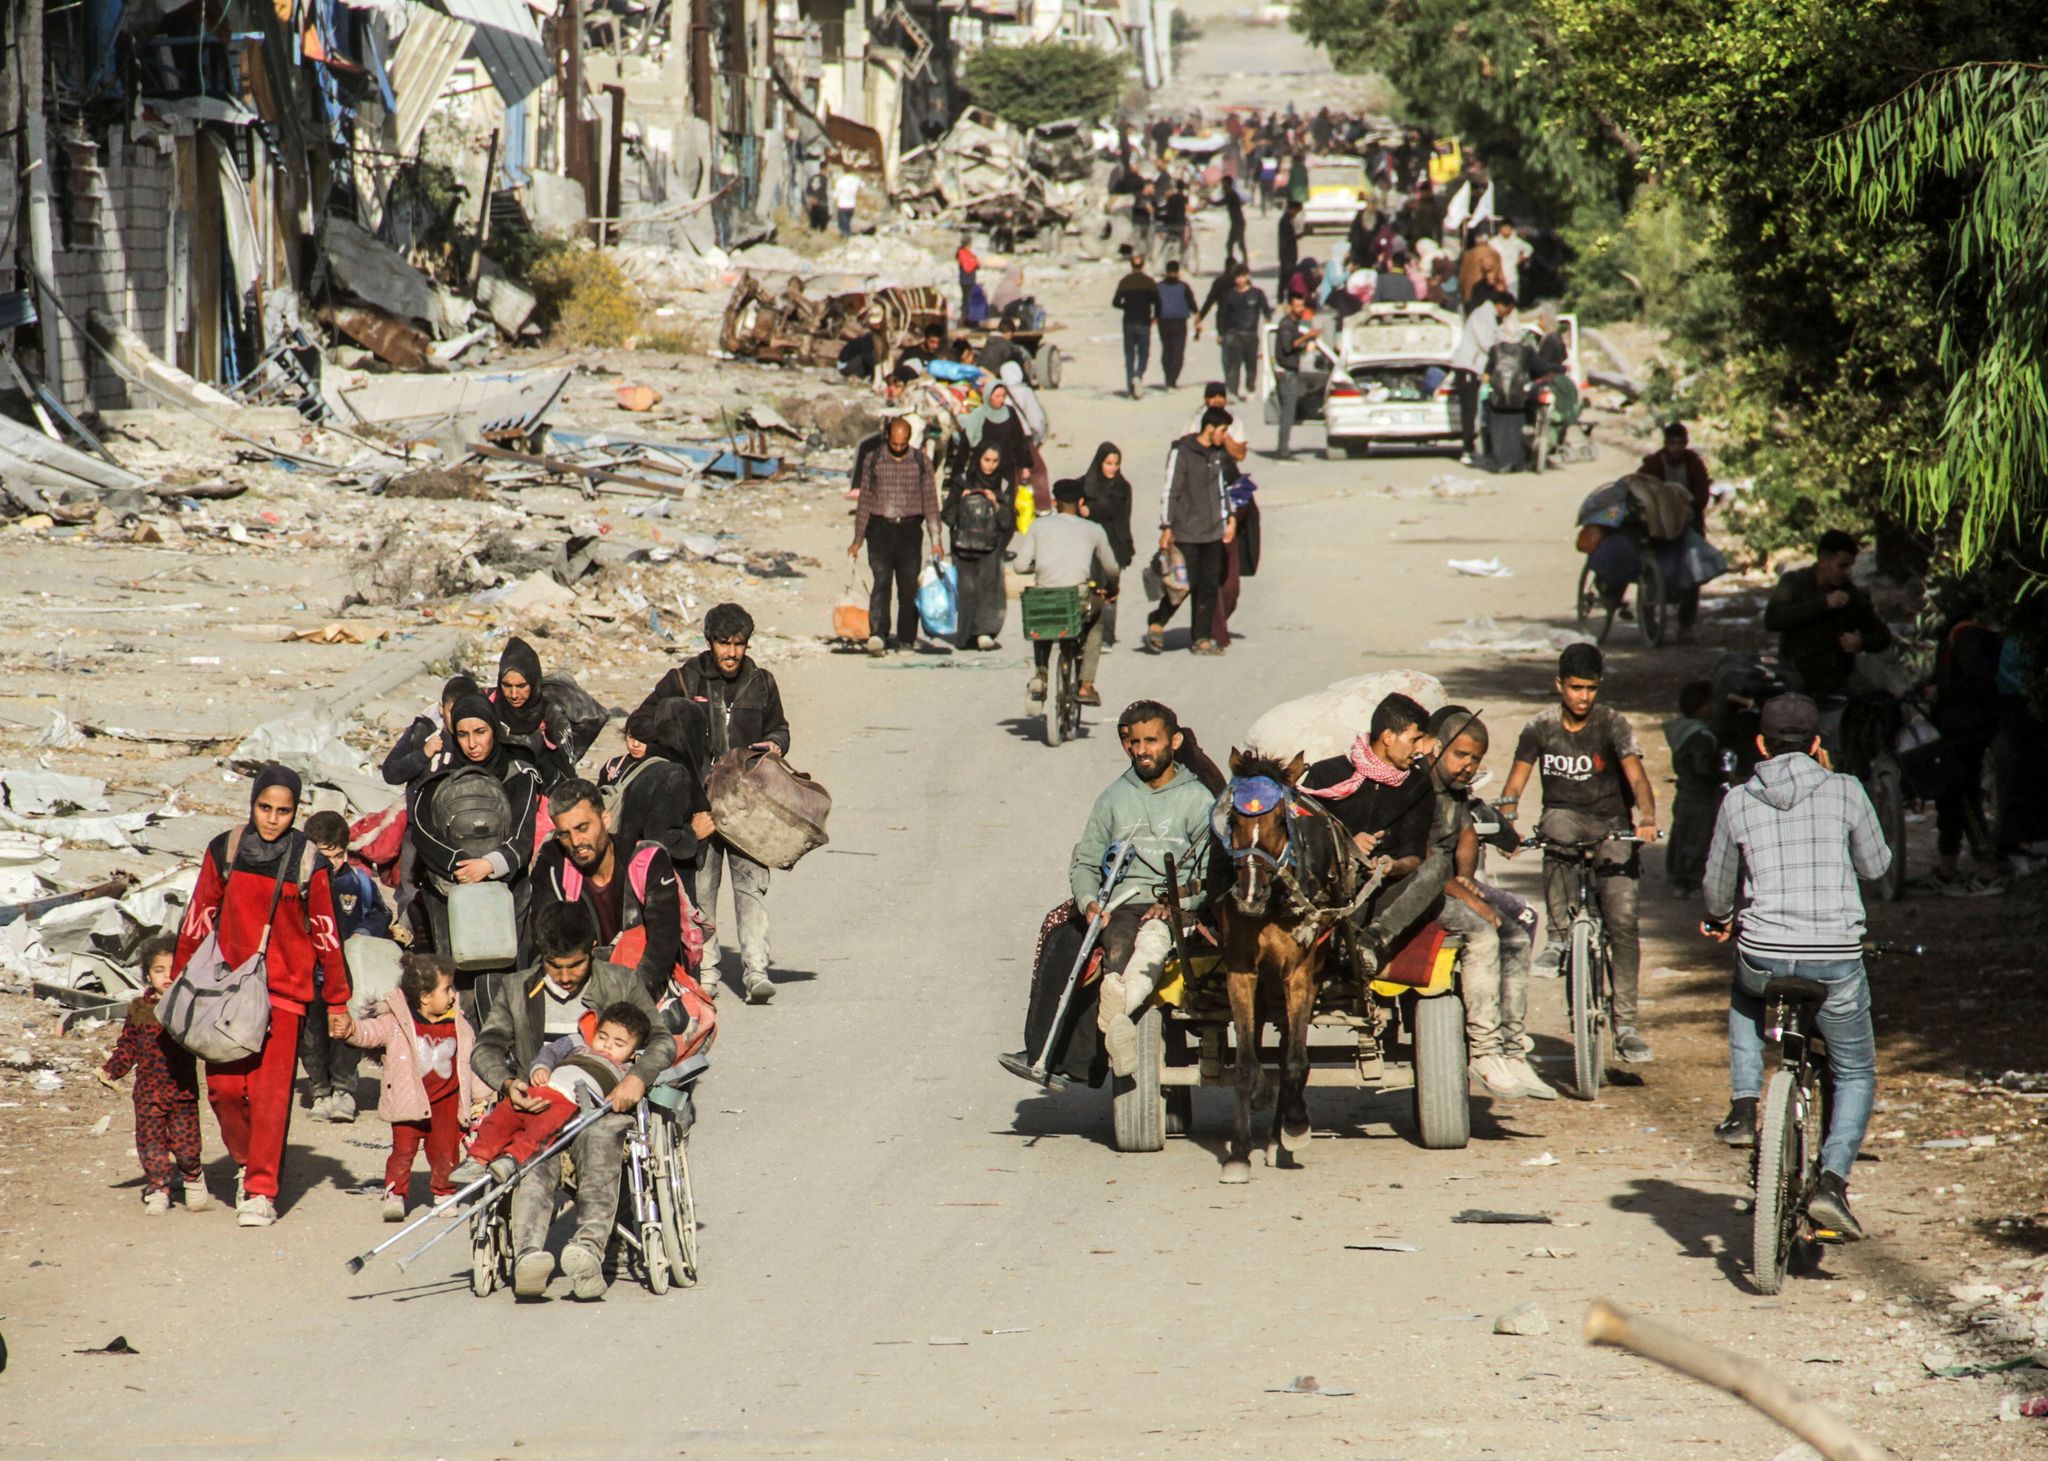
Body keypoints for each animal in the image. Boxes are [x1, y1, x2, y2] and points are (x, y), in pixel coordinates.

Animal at [1212, 745, 1376, 1180]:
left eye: (1279, 821)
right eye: (1233, 819)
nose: (1248, 895)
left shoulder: (1300, 974)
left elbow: (1296, 1061)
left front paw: (1296, 1125)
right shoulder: (1241, 970)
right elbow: (1245, 1063)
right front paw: (1238, 1152)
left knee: (1290, 1047)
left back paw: (1278, 1138)